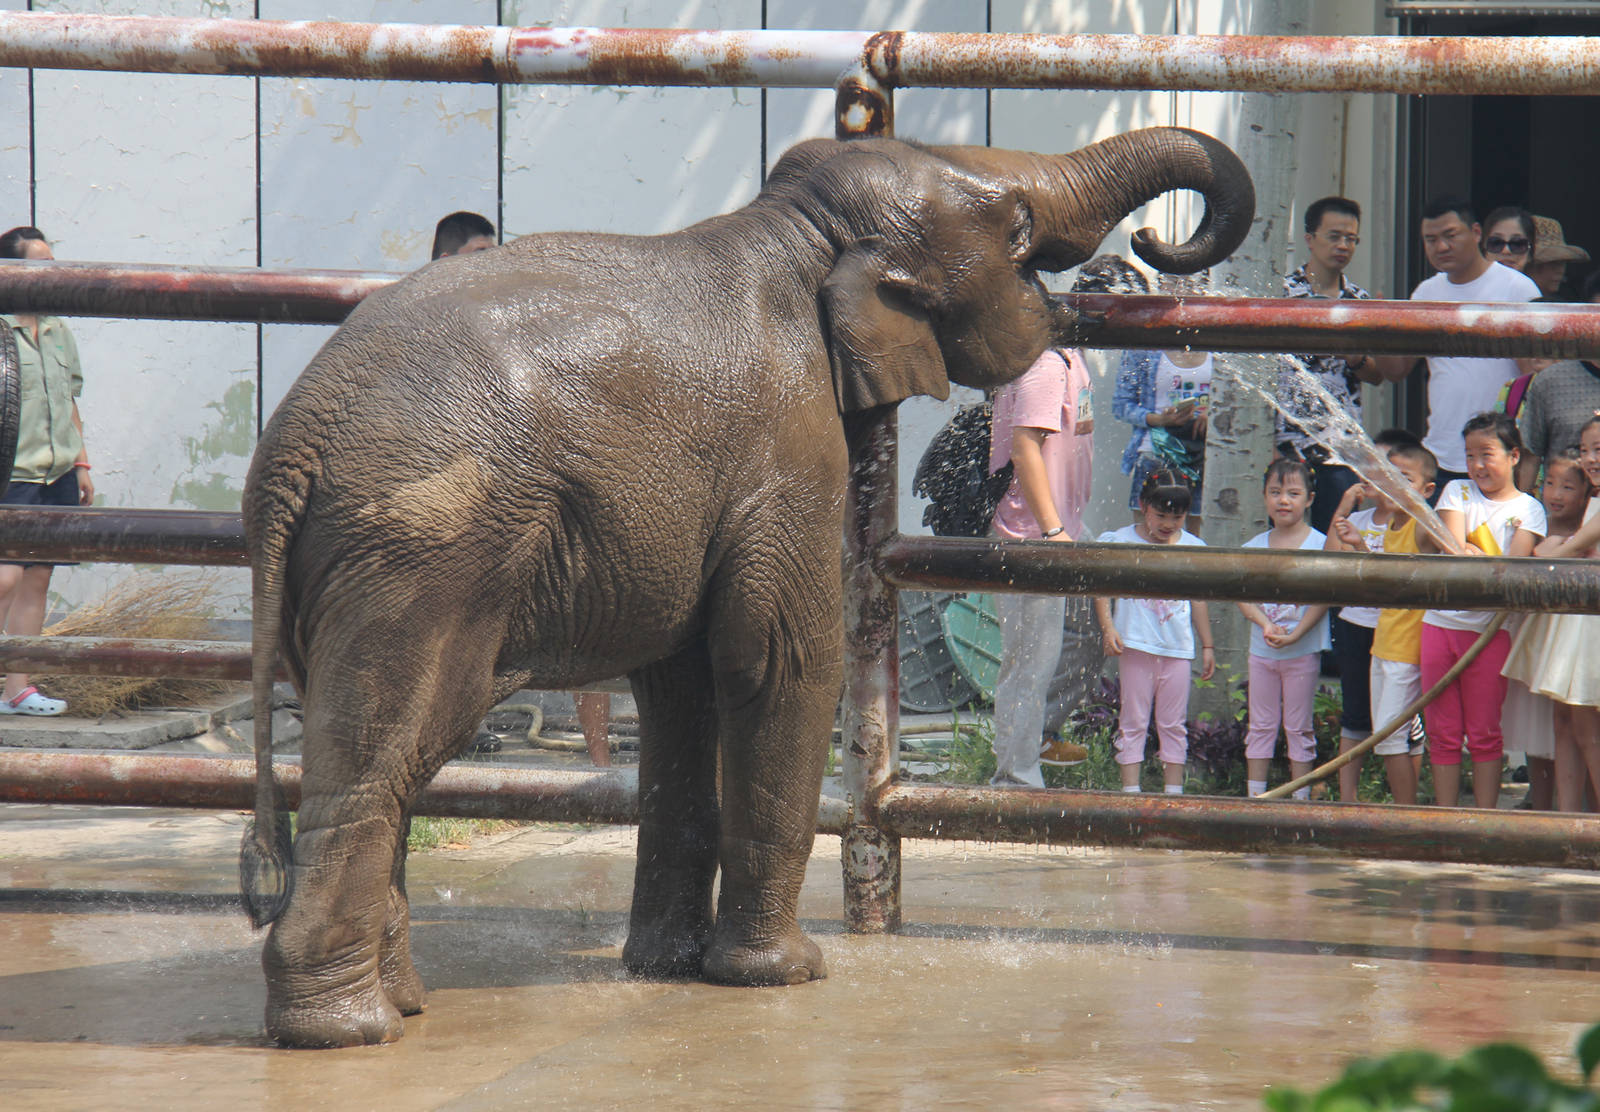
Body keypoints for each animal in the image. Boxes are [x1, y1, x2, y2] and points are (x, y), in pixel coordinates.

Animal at [239, 126, 1255, 1048]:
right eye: (1016, 225)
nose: (1145, 252)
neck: (798, 231)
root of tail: (292, 452)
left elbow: (682, 689)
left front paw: (667, 969)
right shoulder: (791, 447)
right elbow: (782, 665)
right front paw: (786, 975)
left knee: (382, 758)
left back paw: (401, 1003)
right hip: (424, 554)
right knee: (381, 759)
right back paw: (346, 1031)